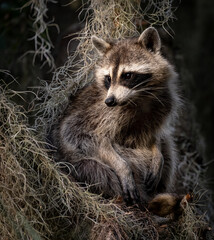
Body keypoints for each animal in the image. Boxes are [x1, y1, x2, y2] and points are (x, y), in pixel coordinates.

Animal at [51, 27, 180, 208]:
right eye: (108, 78)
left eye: (127, 75)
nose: (110, 101)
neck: (139, 97)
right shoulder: (96, 115)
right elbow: (86, 137)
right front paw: (123, 168)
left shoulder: (162, 104)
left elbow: (154, 135)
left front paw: (157, 152)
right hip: (79, 163)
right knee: (98, 170)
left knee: (168, 148)